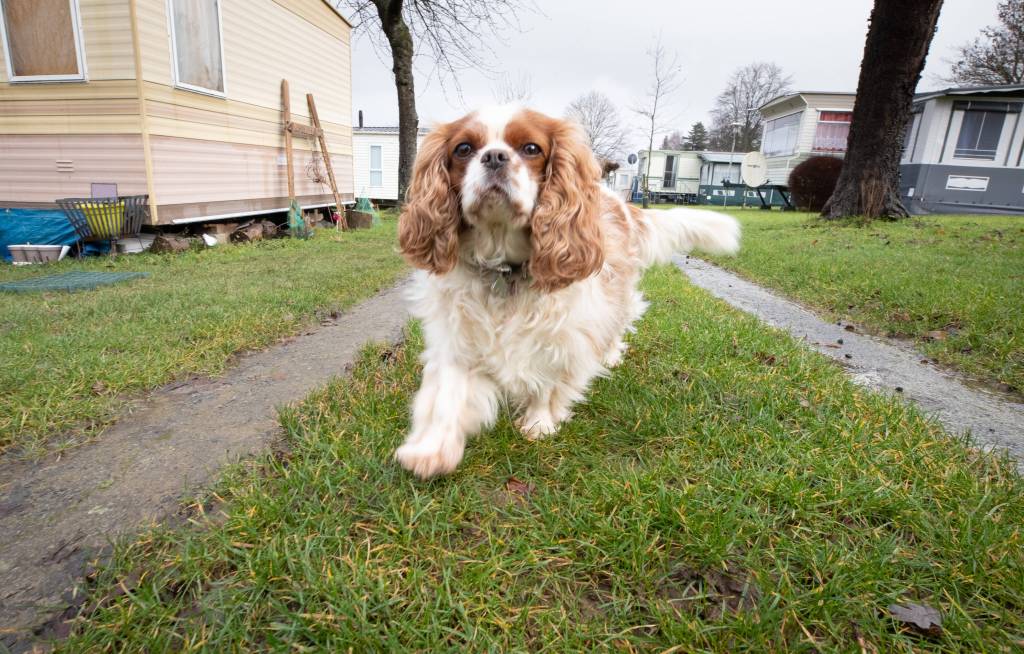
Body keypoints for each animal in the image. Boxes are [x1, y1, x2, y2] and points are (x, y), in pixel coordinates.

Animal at [389, 104, 737, 478]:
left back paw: (610, 355)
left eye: (531, 148)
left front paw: (539, 422)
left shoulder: (562, 331)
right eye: (464, 149)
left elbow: (547, 378)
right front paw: (432, 448)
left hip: (618, 293)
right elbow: (447, 395)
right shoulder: (458, 335)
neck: (503, 268)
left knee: (618, 322)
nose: (495, 156)